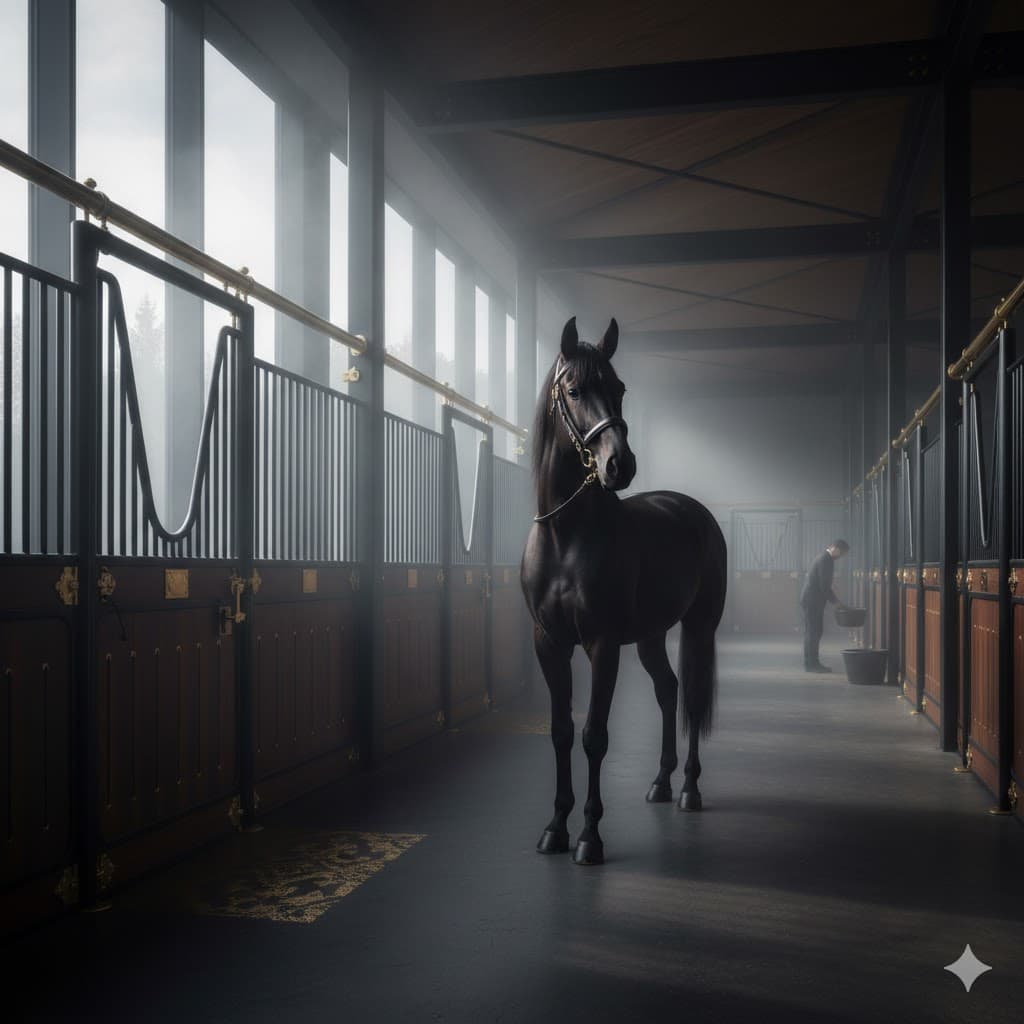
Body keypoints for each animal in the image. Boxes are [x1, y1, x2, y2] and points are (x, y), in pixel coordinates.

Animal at [520, 316, 727, 865]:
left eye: (620, 389)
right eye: (574, 390)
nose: (621, 465)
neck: (566, 537)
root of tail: (693, 510)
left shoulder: (603, 645)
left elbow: (594, 736)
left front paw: (589, 838)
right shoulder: (549, 644)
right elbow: (561, 732)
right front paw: (555, 828)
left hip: (699, 628)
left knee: (690, 696)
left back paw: (688, 790)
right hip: (652, 636)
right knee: (667, 689)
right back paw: (661, 782)